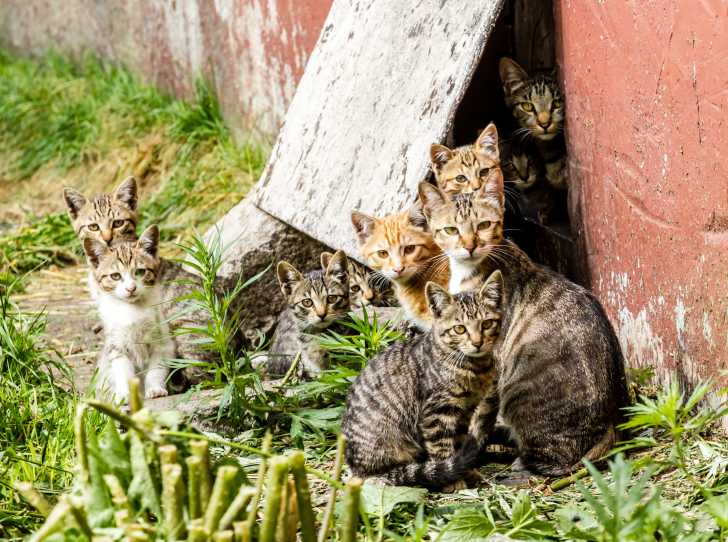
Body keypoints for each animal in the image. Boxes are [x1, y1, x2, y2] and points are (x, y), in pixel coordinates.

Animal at [84, 225, 171, 404]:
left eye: (140, 272)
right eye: (115, 276)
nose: (131, 288)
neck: (132, 309)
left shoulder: (161, 342)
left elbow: (156, 369)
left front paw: (155, 388)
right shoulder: (116, 345)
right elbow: (123, 372)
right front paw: (125, 395)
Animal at [342, 272, 506, 492]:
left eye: (487, 324)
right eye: (459, 329)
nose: (477, 343)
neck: (474, 367)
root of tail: (353, 466)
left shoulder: (465, 410)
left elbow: (459, 443)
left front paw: (466, 471)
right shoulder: (436, 412)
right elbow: (442, 447)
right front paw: (451, 480)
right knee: (377, 477)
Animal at [420, 182, 632, 476]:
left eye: (483, 225)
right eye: (451, 229)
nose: (470, 246)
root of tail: (612, 425)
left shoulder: (489, 364)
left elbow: (478, 413)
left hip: (520, 397)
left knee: (556, 458)